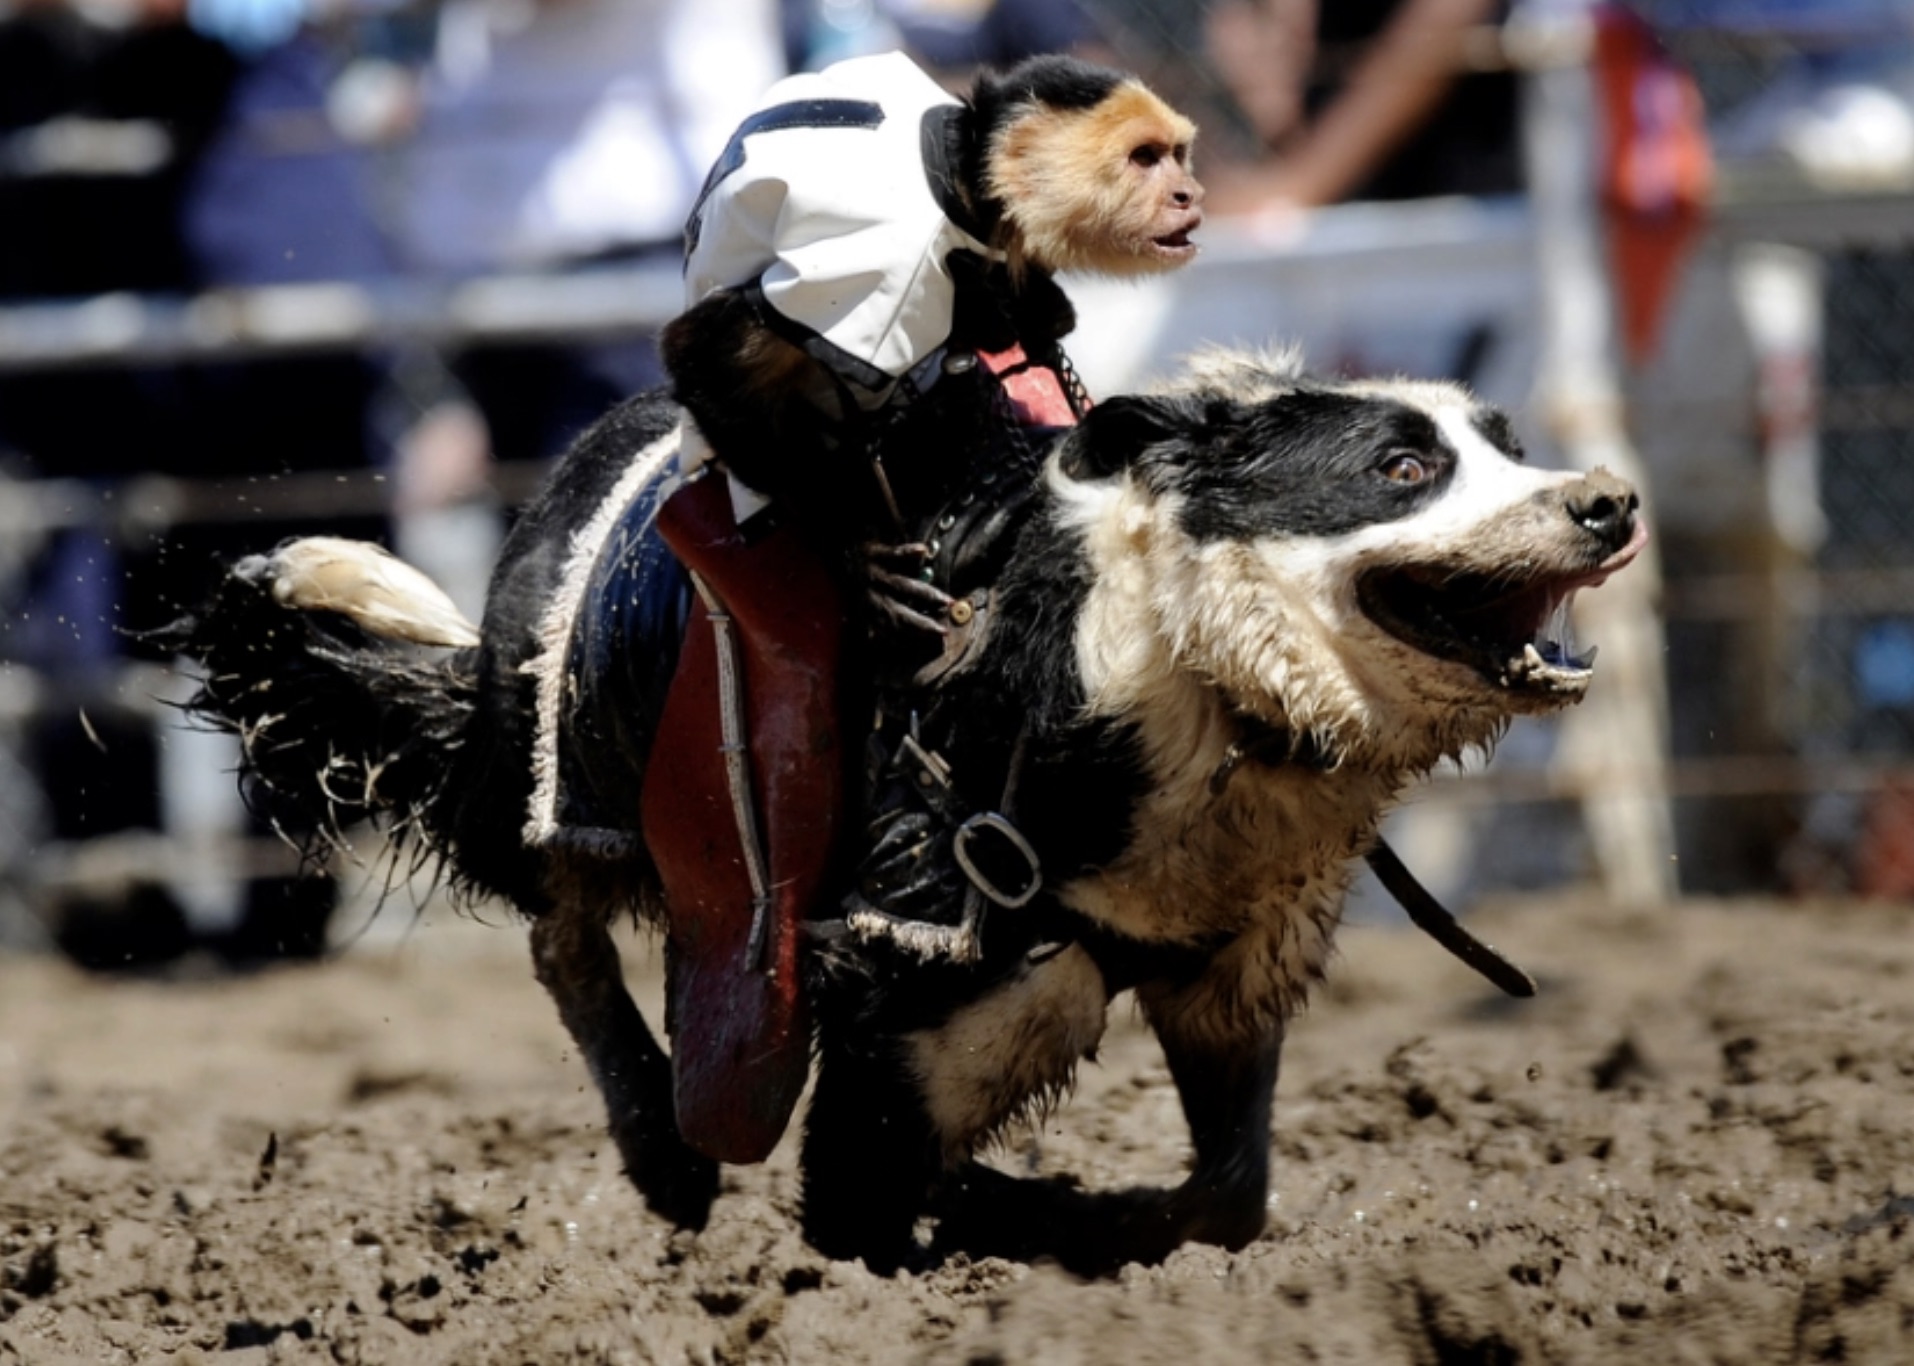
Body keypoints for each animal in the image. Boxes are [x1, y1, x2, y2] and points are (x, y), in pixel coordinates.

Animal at [168, 346, 1646, 1270]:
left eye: (1504, 446)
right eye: (1401, 465)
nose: (1608, 500)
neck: (1167, 677)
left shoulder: (1229, 971)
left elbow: (1229, 1192)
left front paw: (1075, 1224)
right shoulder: (912, 993)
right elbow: (861, 1203)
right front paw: (985, 1225)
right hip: (562, 763)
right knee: (558, 929)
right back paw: (662, 1149)